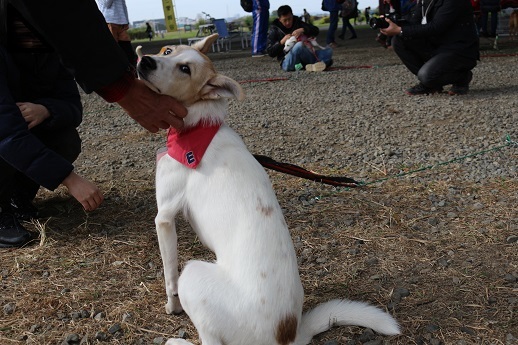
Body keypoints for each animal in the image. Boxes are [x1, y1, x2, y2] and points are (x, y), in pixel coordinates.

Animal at [136, 34, 400, 344]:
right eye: (167, 51)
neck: (197, 128)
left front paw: (172, 306)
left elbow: (169, 277)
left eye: (185, 70)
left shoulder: (164, 217)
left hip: (193, 274)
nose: (145, 61)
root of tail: (286, 335)